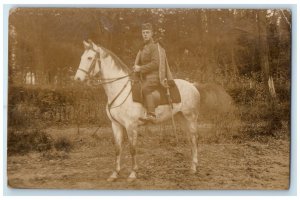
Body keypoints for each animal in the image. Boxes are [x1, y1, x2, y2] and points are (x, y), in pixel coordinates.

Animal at [74, 39, 202, 182]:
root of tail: (192, 85)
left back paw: (194, 168)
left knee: (194, 139)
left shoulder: (131, 126)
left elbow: (132, 149)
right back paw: (192, 166)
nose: (77, 78)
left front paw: (133, 174)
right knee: (190, 140)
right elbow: (117, 149)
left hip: (191, 118)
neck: (120, 89)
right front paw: (115, 174)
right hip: (182, 119)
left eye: (89, 58)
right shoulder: (116, 125)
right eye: (81, 57)